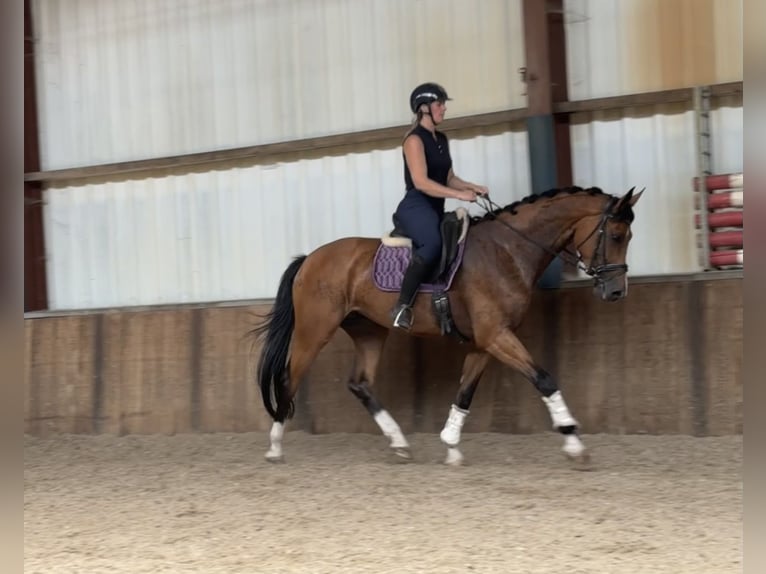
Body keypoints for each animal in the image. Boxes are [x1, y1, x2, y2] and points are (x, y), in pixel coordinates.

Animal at [252, 185, 643, 466]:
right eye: (616, 235)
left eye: (628, 236)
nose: (616, 292)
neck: (507, 250)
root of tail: (309, 259)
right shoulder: (496, 335)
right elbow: (544, 379)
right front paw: (574, 443)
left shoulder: (486, 340)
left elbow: (465, 391)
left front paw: (451, 446)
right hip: (315, 330)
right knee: (288, 377)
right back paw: (274, 447)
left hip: (368, 330)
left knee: (359, 383)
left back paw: (400, 443)